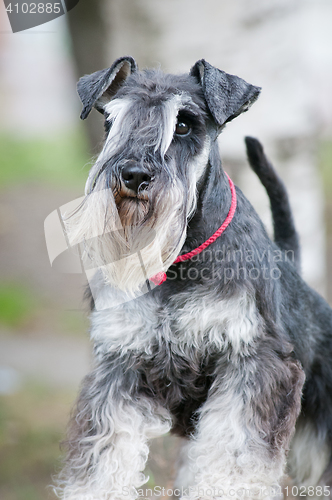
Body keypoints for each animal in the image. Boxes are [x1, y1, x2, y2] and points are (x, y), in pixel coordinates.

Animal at [53, 57, 332, 500]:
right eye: (111, 121)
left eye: (184, 124)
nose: (133, 175)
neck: (177, 259)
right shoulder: (119, 366)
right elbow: (104, 460)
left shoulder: (252, 363)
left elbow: (234, 458)